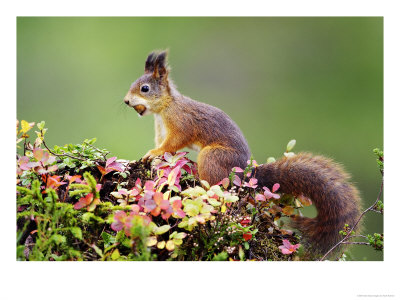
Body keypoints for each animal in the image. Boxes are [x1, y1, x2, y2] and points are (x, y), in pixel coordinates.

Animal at [123, 51, 360, 253]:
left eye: (144, 88)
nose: (125, 101)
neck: (165, 108)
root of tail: (246, 173)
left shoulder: (182, 124)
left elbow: (173, 143)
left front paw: (154, 152)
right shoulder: (160, 129)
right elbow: (163, 145)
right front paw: (154, 153)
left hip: (211, 157)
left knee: (218, 186)